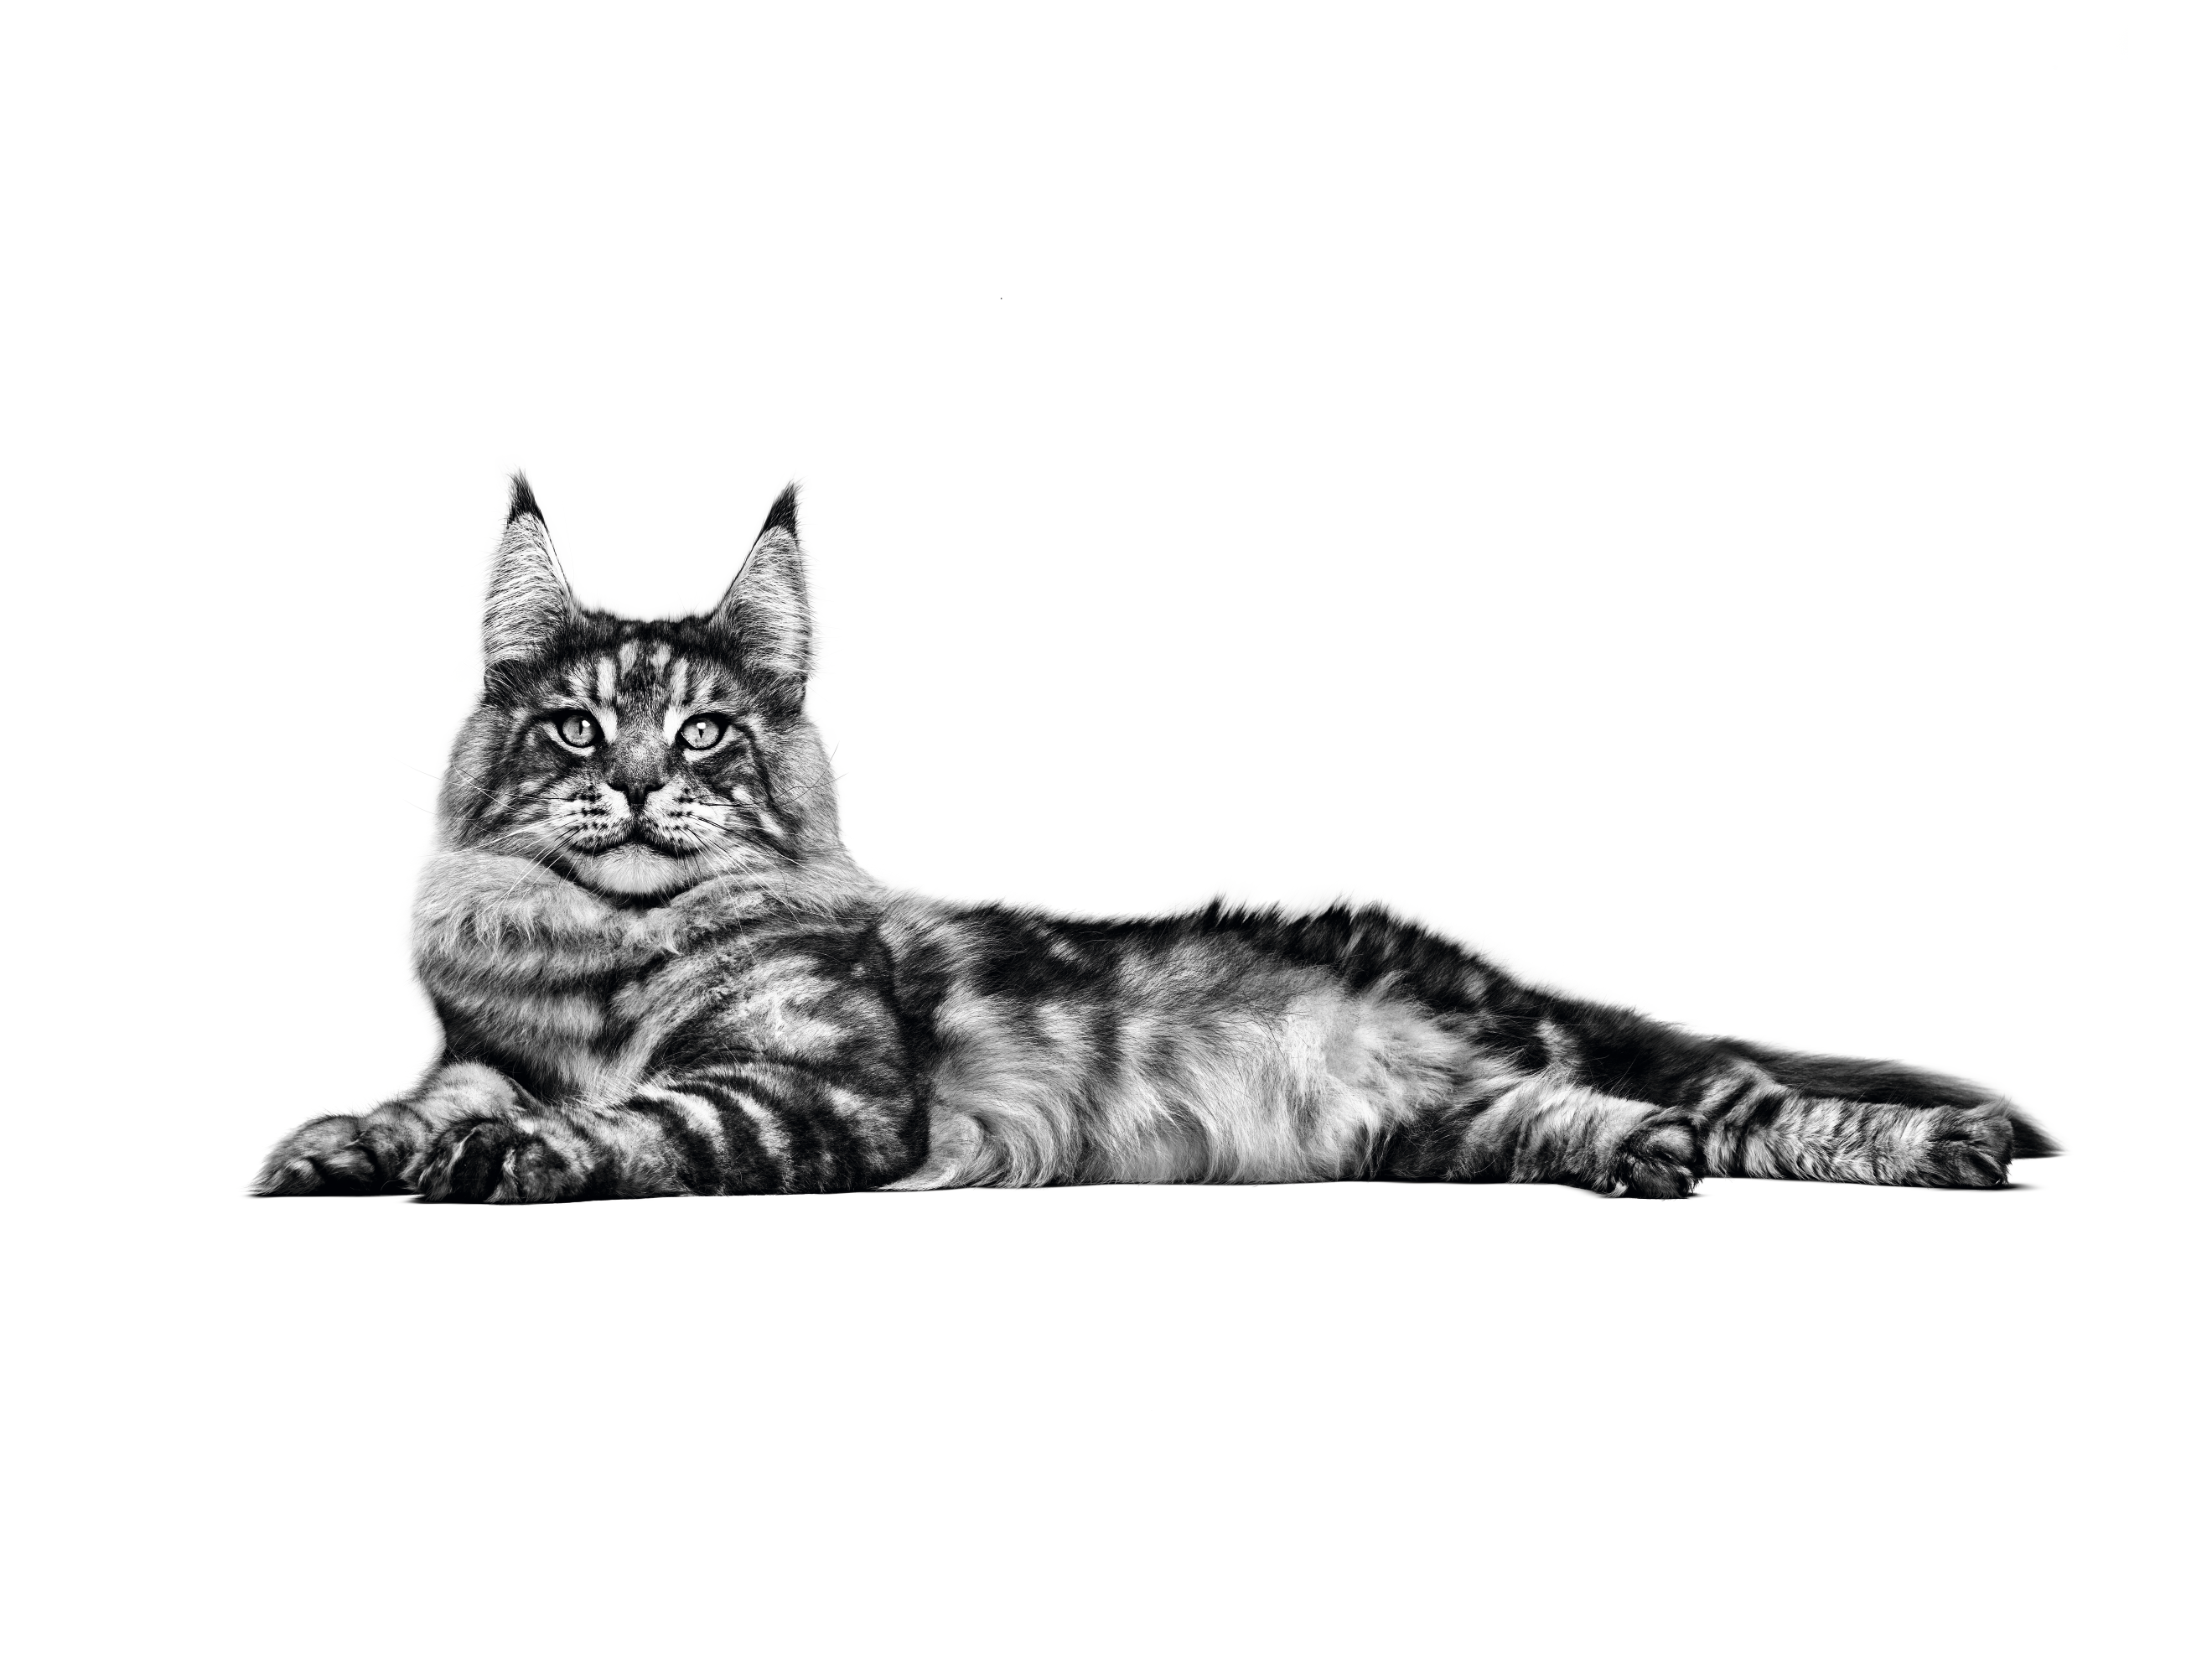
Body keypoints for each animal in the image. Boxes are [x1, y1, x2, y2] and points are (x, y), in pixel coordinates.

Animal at [254, 480, 2052, 1212]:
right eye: (575, 727)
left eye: (701, 733)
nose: (631, 784)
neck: (605, 966)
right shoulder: (480, 1053)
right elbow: (417, 1105)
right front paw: (336, 1150)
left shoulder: (820, 1089)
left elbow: (639, 1124)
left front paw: (513, 1164)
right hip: (1434, 1122)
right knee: (1622, 1120)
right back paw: (1633, 1158)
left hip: (1536, 1048)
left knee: (1751, 1103)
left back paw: (1937, 1146)